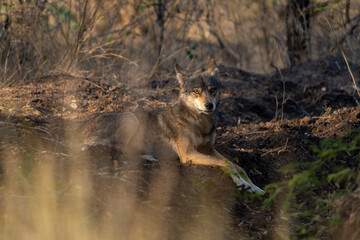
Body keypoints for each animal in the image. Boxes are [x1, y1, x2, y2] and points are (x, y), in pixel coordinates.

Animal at [84, 59, 264, 194]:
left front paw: (256, 188)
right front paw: (242, 184)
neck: (199, 123)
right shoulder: (188, 154)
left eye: (212, 90)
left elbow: (237, 165)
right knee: (118, 149)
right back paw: (149, 156)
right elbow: (227, 163)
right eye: (196, 91)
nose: (209, 105)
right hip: (131, 118)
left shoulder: (209, 149)